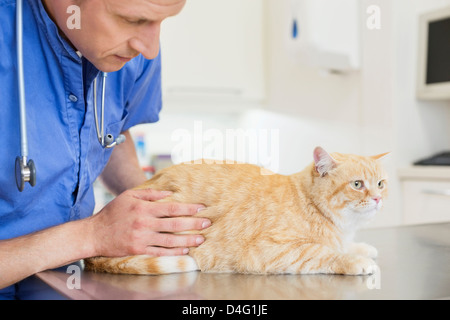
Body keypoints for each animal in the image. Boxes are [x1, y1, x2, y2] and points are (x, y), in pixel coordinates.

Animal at [86, 148, 388, 276]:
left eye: (380, 184)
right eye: (358, 185)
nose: (377, 199)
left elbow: (343, 246)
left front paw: (361, 248)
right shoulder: (270, 251)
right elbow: (324, 254)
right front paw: (355, 261)